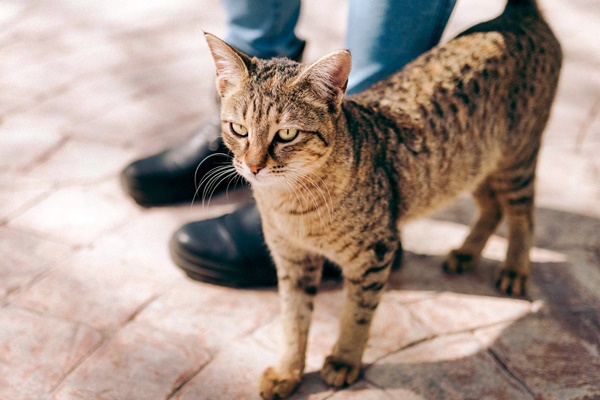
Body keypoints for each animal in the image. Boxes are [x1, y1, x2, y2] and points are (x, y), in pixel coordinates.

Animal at [204, 0, 560, 396]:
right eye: (238, 129)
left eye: (287, 134)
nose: (253, 166)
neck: (291, 205)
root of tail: (514, 15)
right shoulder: (292, 260)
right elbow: (293, 321)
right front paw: (288, 371)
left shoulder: (374, 254)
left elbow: (356, 315)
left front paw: (344, 359)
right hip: (473, 166)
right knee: (493, 207)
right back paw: (467, 253)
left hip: (516, 160)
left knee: (523, 215)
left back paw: (514, 268)